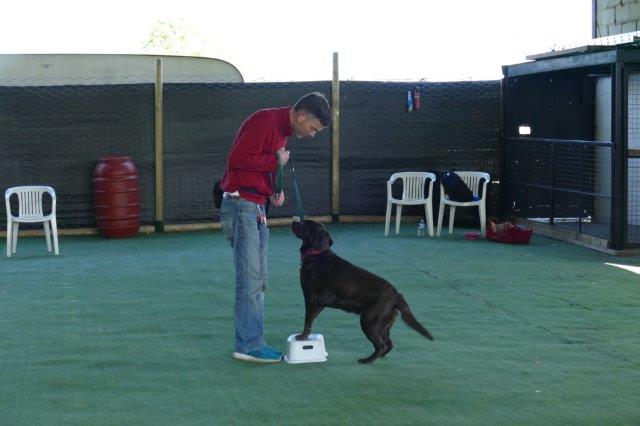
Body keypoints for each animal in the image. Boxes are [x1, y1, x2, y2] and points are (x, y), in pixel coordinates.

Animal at [291, 220, 434, 363]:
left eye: (303, 223)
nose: (293, 221)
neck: (318, 254)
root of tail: (396, 294)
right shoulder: (320, 303)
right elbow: (311, 320)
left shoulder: (310, 298)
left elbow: (307, 320)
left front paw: (302, 338)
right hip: (382, 325)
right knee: (389, 344)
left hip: (369, 322)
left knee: (381, 346)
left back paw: (367, 360)